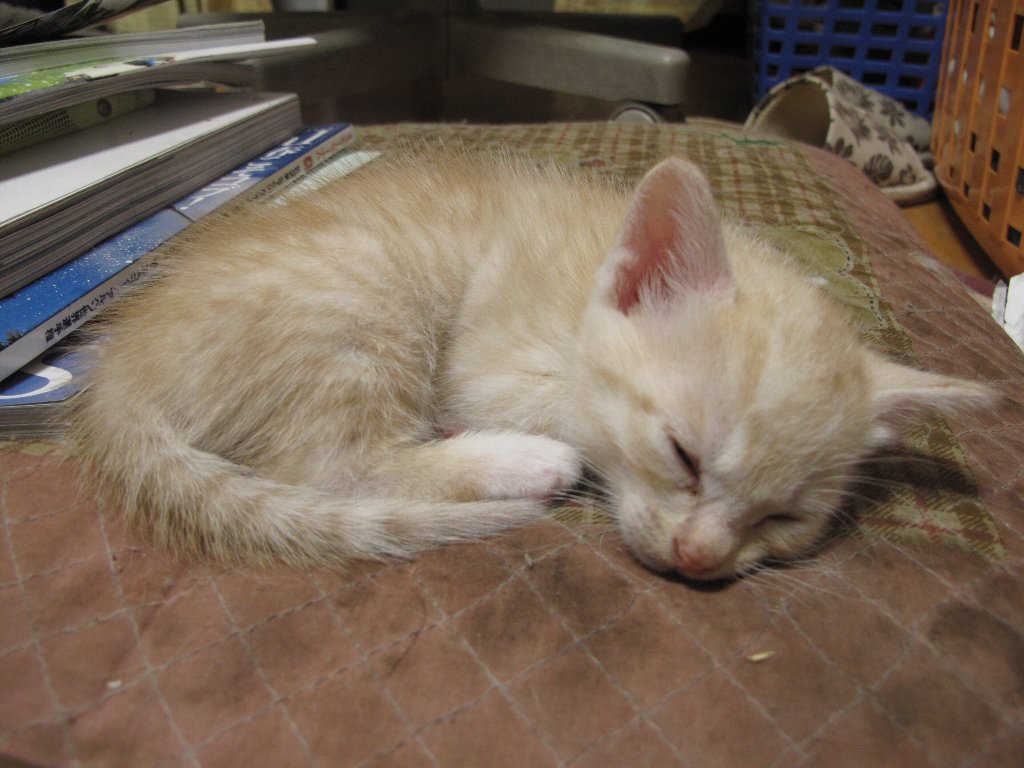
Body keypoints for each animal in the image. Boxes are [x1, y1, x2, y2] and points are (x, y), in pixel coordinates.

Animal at [70, 152, 994, 581]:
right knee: (330, 463)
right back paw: (522, 460)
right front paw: (557, 442)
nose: (699, 559)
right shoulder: (482, 361)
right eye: (684, 458)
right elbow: (559, 409)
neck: (581, 282)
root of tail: (116, 375)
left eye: (784, 519)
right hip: (363, 294)